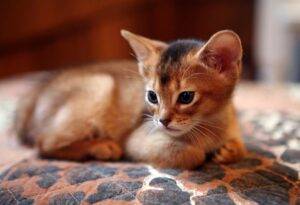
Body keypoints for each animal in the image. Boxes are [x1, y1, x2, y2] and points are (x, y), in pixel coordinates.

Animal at [15, 29, 246, 169]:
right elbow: (192, 155)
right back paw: (102, 147)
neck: (210, 125)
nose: (162, 121)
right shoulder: (137, 139)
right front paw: (202, 153)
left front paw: (227, 151)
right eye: (152, 96)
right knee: (44, 144)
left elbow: (239, 148)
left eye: (186, 97)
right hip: (100, 86)